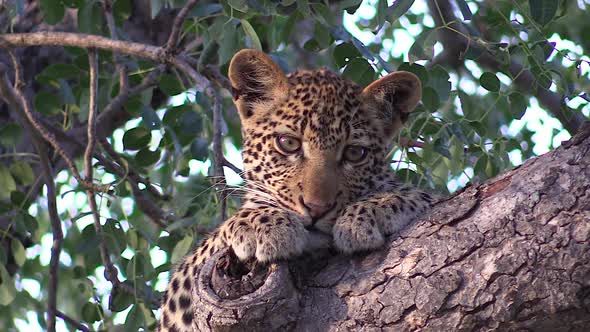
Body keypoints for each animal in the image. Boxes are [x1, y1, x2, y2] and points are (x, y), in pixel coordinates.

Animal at [157, 49, 434, 332]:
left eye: (355, 153)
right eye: (288, 143)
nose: (317, 208)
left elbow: (424, 195)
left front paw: (372, 210)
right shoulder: (177, 303)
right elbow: (215, 237)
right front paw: (260, 225)